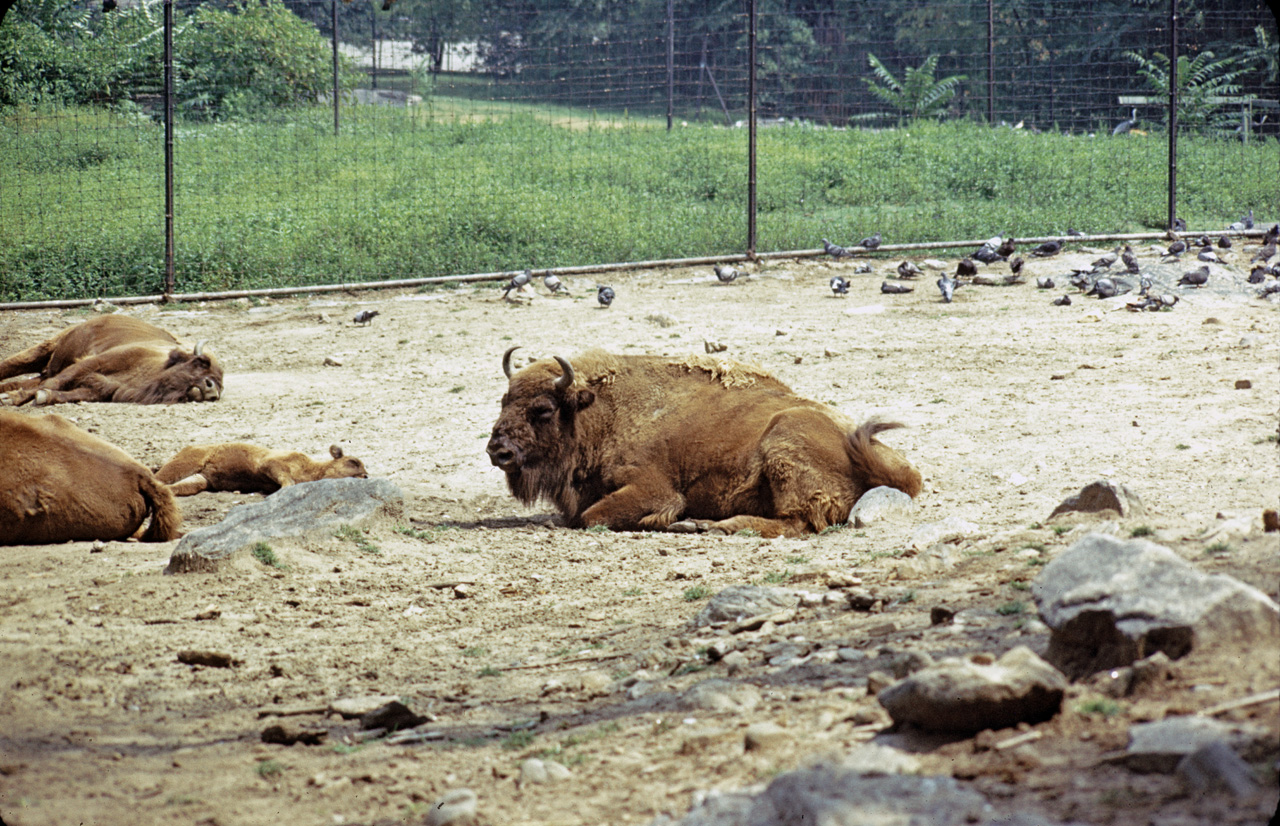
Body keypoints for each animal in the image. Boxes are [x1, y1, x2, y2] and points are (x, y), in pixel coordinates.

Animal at [0, 313, 222, 407]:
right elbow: (56, 383)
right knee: (12, 365)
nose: (212, 390)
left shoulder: (100, 388)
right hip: (46, 348)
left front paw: (41, 396)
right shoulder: (95, 362)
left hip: (48, 366)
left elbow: (64, 393)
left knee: (27, 380)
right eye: (200, 362)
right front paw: (12, 399)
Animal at [486, 345, 921, 535]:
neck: (603, 413)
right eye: (504, 401)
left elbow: (592, 517)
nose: (497, 451)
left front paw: (664, 521)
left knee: (796, 522)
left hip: (783, 447)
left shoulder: (653, 489)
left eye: (543, 409)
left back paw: (711, 526)